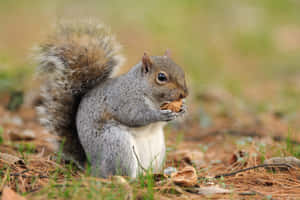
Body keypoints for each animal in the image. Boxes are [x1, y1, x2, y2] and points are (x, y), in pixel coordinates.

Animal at [35, 21, 188, 177]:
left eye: (182, 71)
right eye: (161, 77)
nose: (184, 94)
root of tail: (93, 167)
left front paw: (182, 108)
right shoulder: (124, 100)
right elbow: (135, 116)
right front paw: (160, 114)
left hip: (157, 152)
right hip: (117, 145)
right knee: (119, 173)